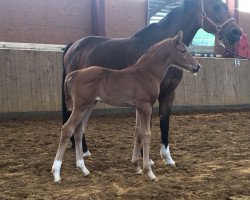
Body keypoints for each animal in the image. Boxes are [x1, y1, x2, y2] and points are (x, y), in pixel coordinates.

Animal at [51, 30, 200, 182]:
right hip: (81, 106)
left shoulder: (138, 107)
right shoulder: (146, 106)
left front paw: (137, 166)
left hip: (89, 105)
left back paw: (83, 168)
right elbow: (146, 133)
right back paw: (56, 172)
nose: (197, 66)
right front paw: (149, 171)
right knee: (67, 128)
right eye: (183, 50)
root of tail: (75, 74)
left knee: (79, 130)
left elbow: (137, 132)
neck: (146, 73)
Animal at [61, 0, 241, 166]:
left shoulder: (168, 94)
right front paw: (144, 157)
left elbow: (164, 123)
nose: (236, 32)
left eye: (227, 6)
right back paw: (83, 151)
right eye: (216, 6)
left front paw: (167, 157)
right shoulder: (146, 99)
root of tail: (72, 47)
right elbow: (145, 127)